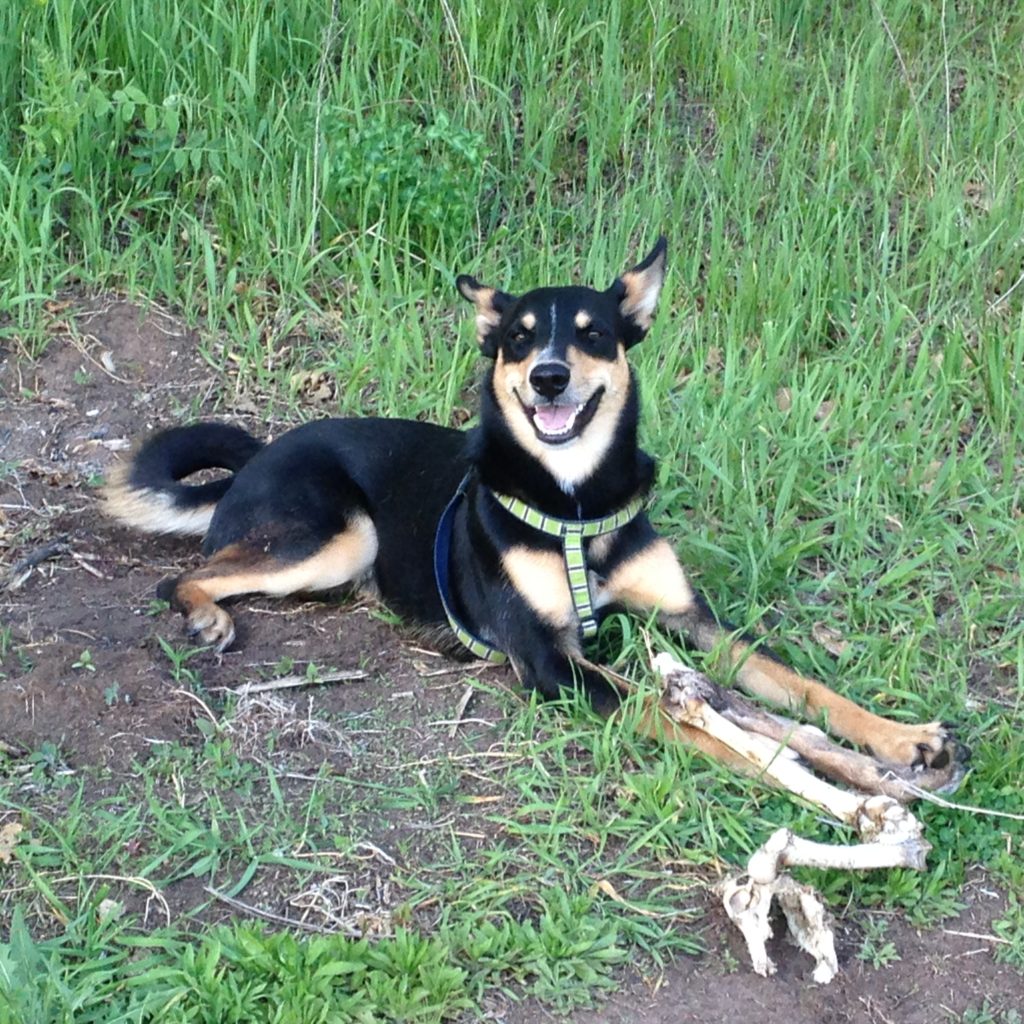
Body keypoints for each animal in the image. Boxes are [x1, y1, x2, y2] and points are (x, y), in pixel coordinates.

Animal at [105, 237, 966, 790]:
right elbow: (691, 717)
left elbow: (801, 687)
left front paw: (898, 740)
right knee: (187, 577)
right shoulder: (551, 663)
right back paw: (204, 615)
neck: (575, 499)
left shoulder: (695, 622)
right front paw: (812, 780)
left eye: (595, 334)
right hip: (342, 538)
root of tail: (256, 456)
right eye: (518, 340)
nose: (550, 376)